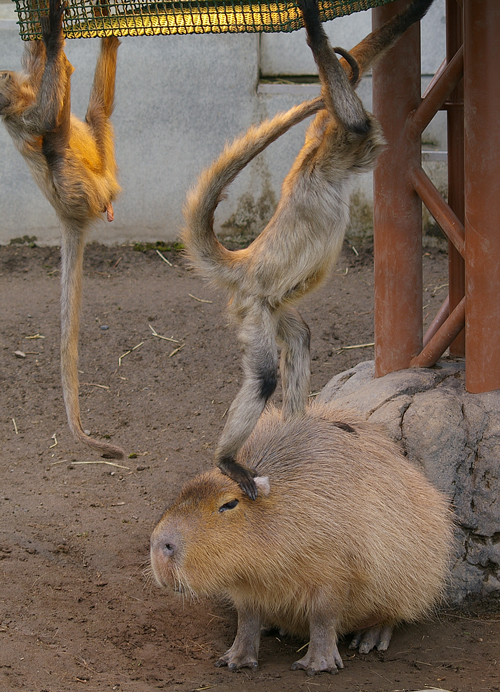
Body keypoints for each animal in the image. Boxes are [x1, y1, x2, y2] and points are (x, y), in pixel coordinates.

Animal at [0, 0, 124, 460]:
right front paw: (53, 32)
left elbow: (44, 67)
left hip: (104, 157)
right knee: (54, 144)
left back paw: (107, 28)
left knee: (95, 114)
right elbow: (44, 118)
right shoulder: (16, 118)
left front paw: (45, 34)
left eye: (1, 76)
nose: (3, 77)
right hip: (80, 190)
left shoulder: (26, 90)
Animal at [183, 0, 434, 498]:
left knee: (299, 338)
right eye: (364, 147)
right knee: (263, 375)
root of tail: (245, 262)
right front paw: (314, 24)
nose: (372, 148)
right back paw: (228, 461)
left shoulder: (318, 142)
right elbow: (345, 111)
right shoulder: (326, 148)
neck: (318, 170)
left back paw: (300, 426)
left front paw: (416, 10)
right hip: (254, 306)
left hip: (276, 306)